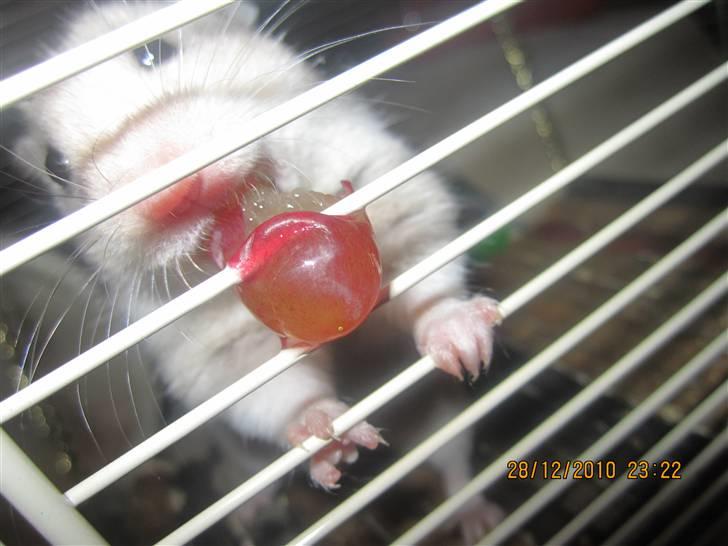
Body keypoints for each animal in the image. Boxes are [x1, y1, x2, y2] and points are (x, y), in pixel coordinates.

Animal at [9, 1, 501, 542]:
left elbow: (426, 279)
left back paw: (480, 516)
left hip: (445, 414)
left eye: (154, 52)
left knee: (455, 468)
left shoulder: (396, 196)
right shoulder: (217, 358)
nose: (173, 196)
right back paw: (259, 511)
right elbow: (282, 395)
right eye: (55, 166)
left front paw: (464, 341)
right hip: (240, 458)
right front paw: (334, 442)